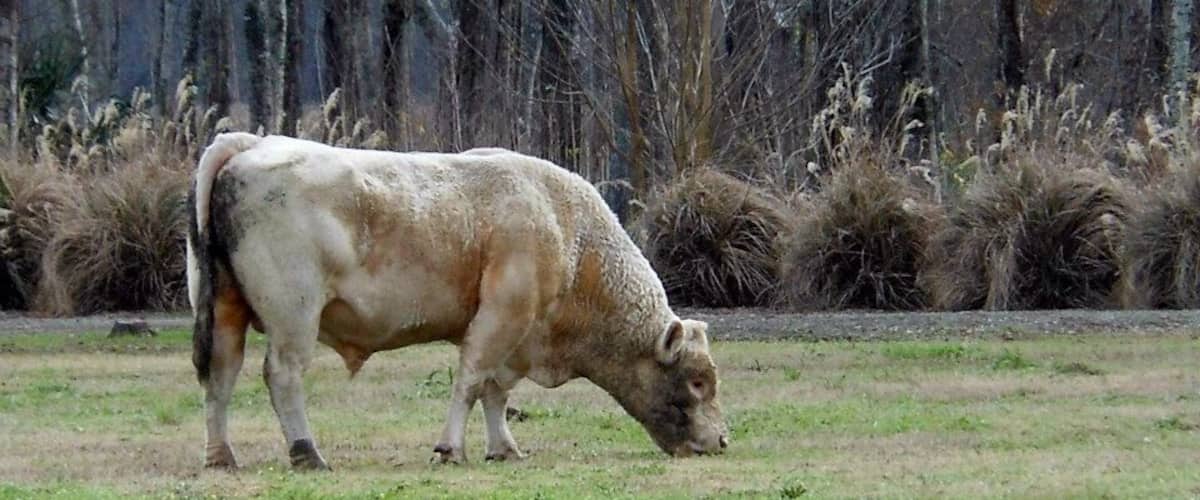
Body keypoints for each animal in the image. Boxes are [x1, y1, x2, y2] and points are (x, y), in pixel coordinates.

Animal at [187, 133, 728, 470]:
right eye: (697, 381)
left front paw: (503, 448)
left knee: (220, 375)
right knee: (282, 375)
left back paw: (221, 456)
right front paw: (451, 448)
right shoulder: (501, 317)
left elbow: (495, 392)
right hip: (295, 317)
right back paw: (307, 453)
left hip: (226, 313)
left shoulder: (518, 336)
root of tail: (251, 142)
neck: (566, 229)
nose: (723, 440)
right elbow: (471, 381)